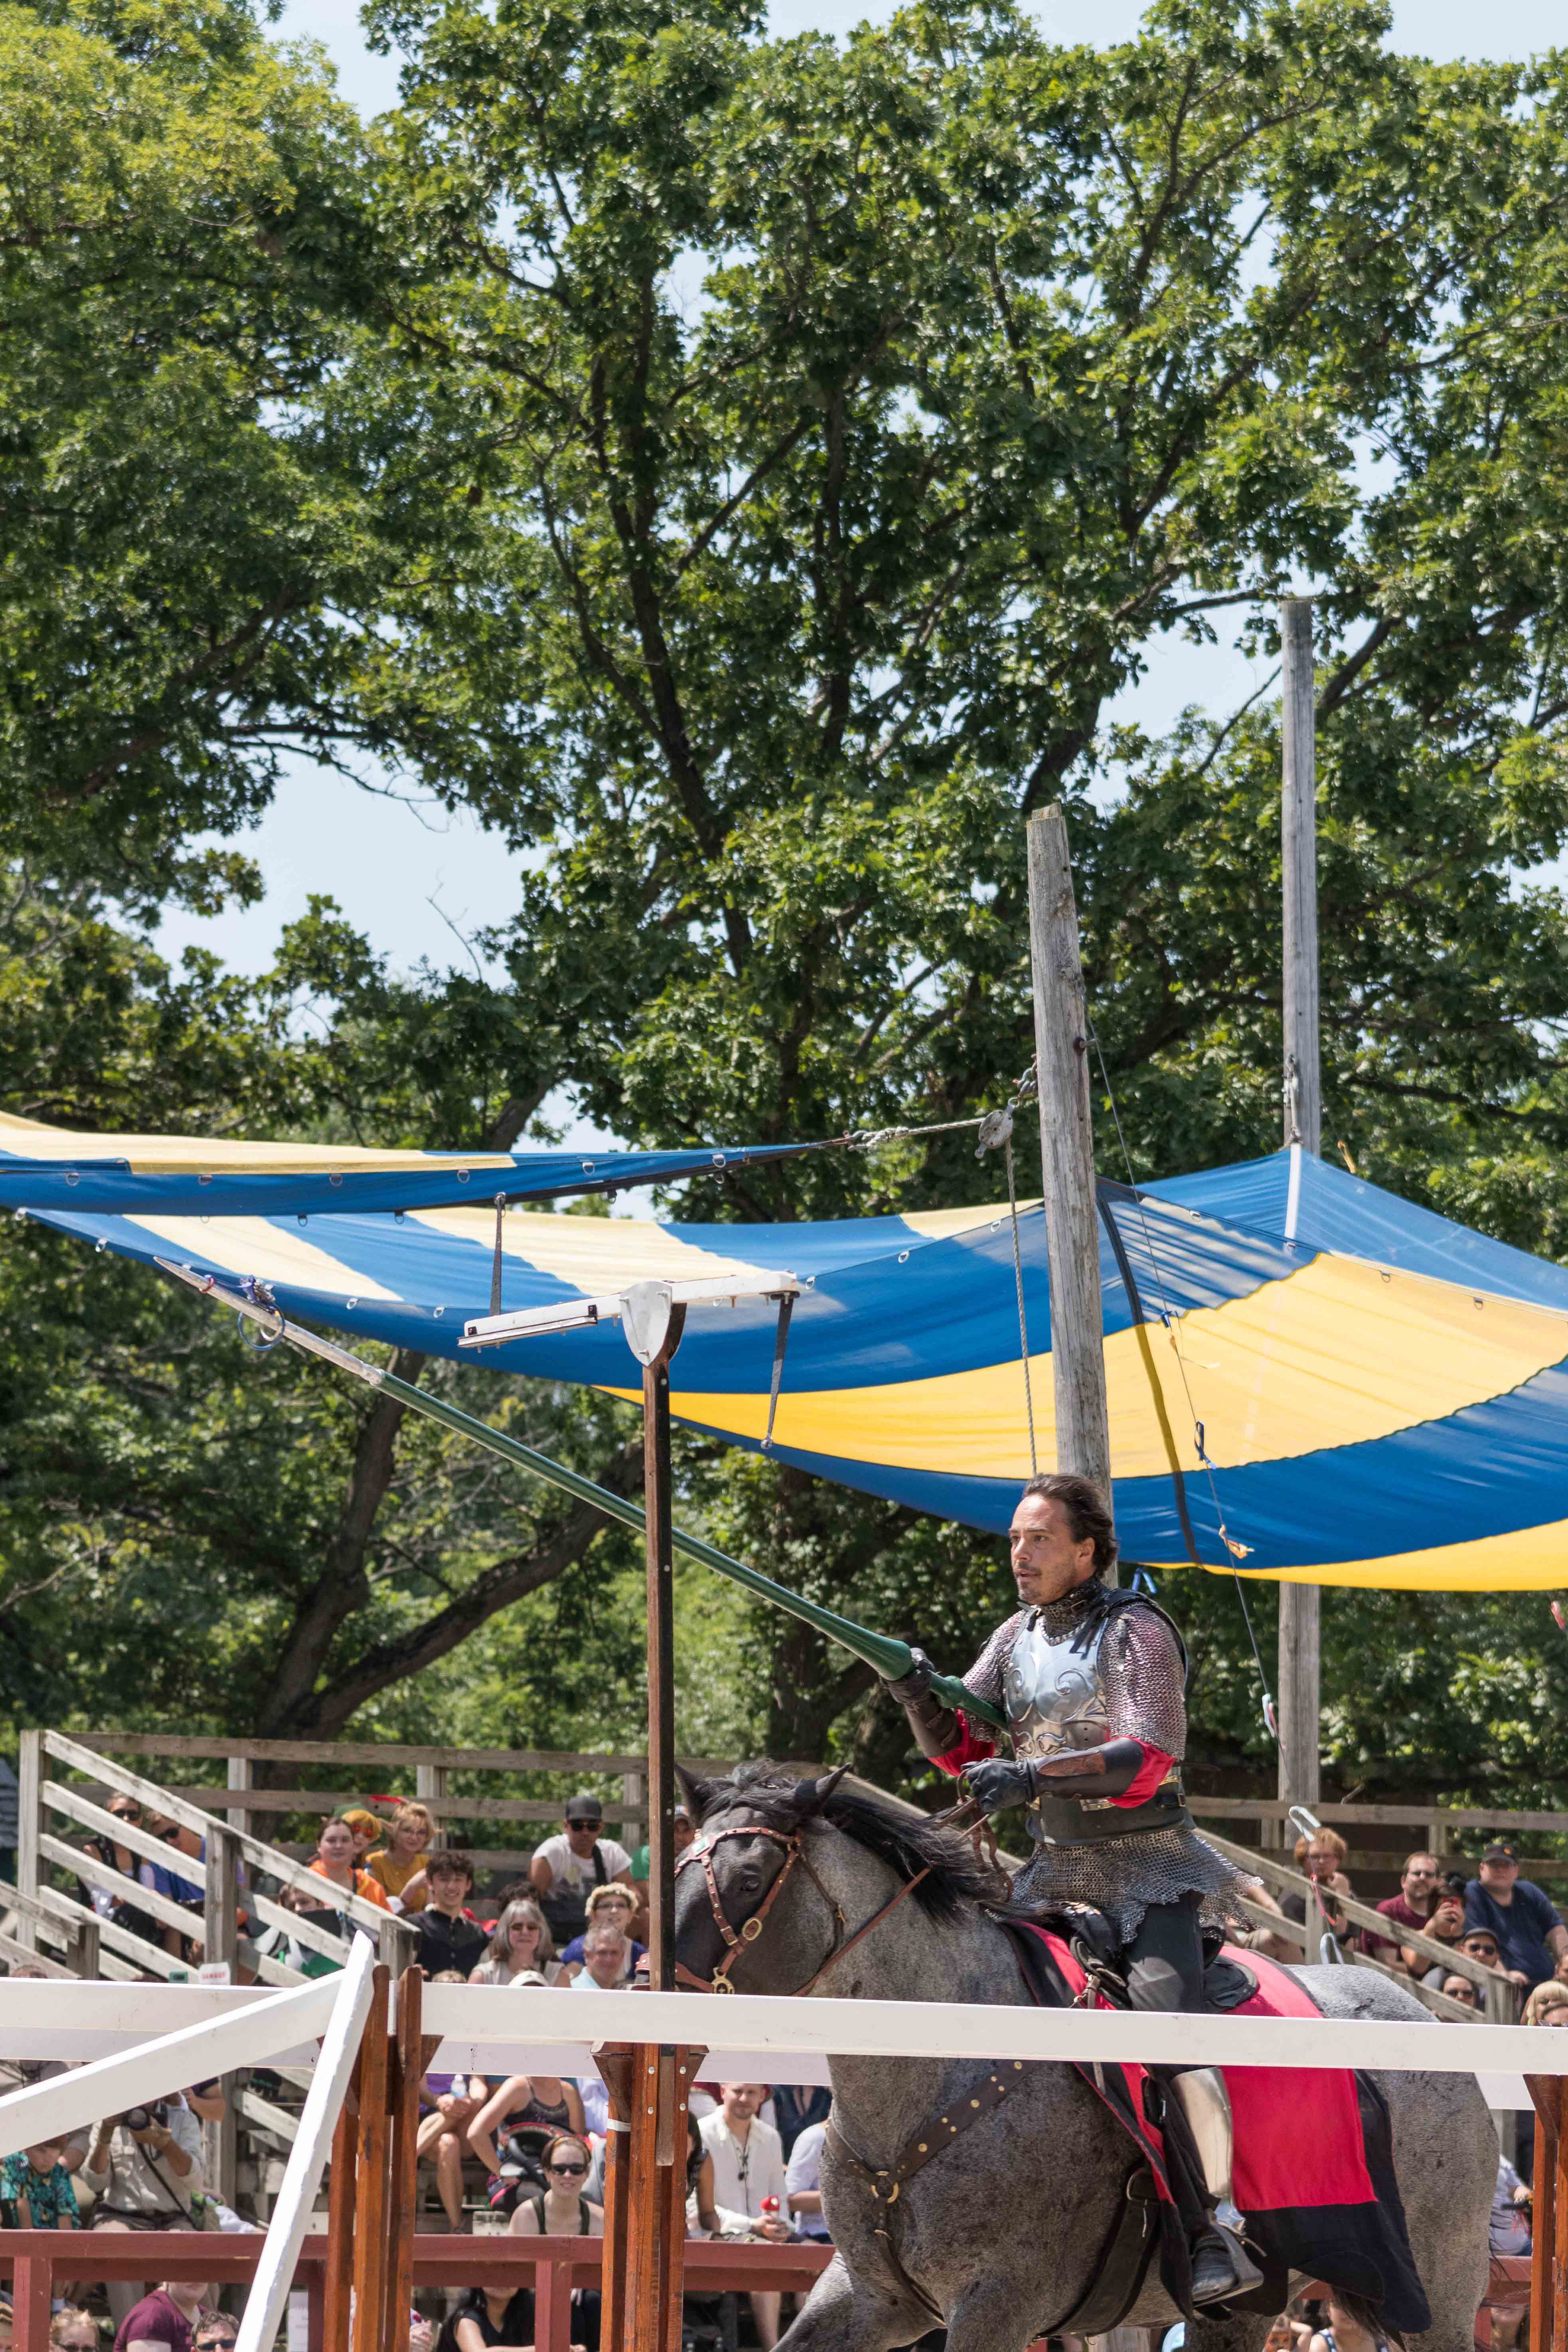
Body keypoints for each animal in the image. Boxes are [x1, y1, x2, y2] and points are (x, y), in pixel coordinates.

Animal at [677, 1769, 1495, 2352]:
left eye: (749, 1881)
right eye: (681, 1869)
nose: (666, 1987)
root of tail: (1426, 2018)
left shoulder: (997, 2302)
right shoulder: (873, 2297)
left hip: (1438, 2295)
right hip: (1250, 2305)